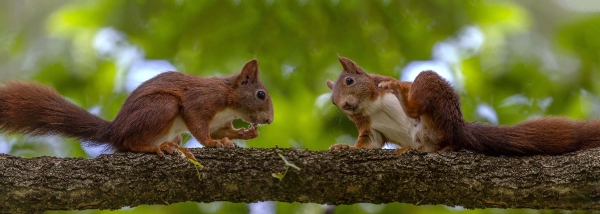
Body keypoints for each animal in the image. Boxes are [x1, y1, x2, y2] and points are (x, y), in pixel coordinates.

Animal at [0, 59, 274, 160]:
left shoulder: (219, 121)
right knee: (128, 143)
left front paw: (242, 135)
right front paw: (212, 144)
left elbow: (222, 131)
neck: (229, 101)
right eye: (261, 94)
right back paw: (158, 147)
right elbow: (197, 123)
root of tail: (115, 129)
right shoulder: (202, 100)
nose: (270, 120)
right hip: (162, 106)